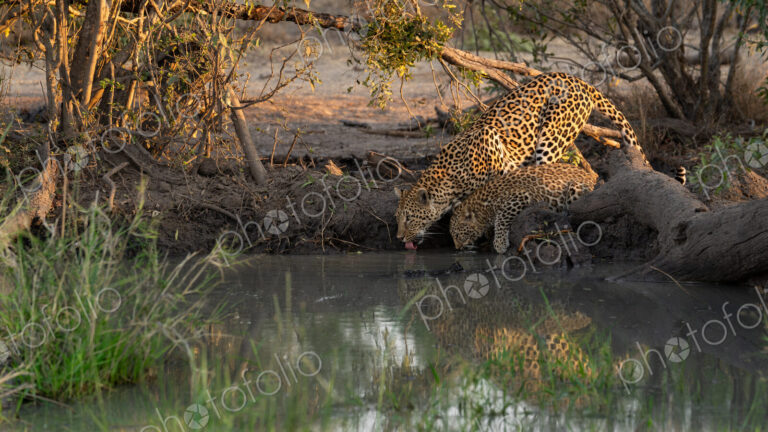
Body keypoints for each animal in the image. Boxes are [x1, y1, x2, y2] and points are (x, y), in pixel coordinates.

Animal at [450, 163, 598, 254]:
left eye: (457, 235)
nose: (457, 248)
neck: (483, 206)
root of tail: (591, 176)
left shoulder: (520, 196)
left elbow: (501, 218)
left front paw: (500, 244)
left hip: (575, 187)